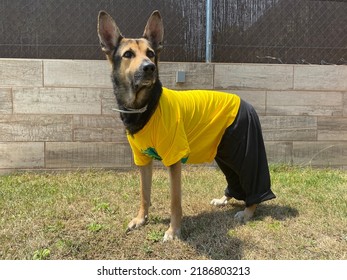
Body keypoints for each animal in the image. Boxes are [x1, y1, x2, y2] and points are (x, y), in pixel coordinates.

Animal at [96, 9, 276, 240]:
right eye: (128, 54)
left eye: (151, 53)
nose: (149, 68)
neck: (146, 105)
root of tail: (246, 103)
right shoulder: (143, 159)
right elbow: (144, 194)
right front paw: (141, 219)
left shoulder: (174, 160)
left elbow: (175, 201)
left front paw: (173, 231)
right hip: (224, 154)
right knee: (234, 179)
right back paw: (224, 200)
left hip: (245, 151)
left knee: (252, 181)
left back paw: (248, 211)